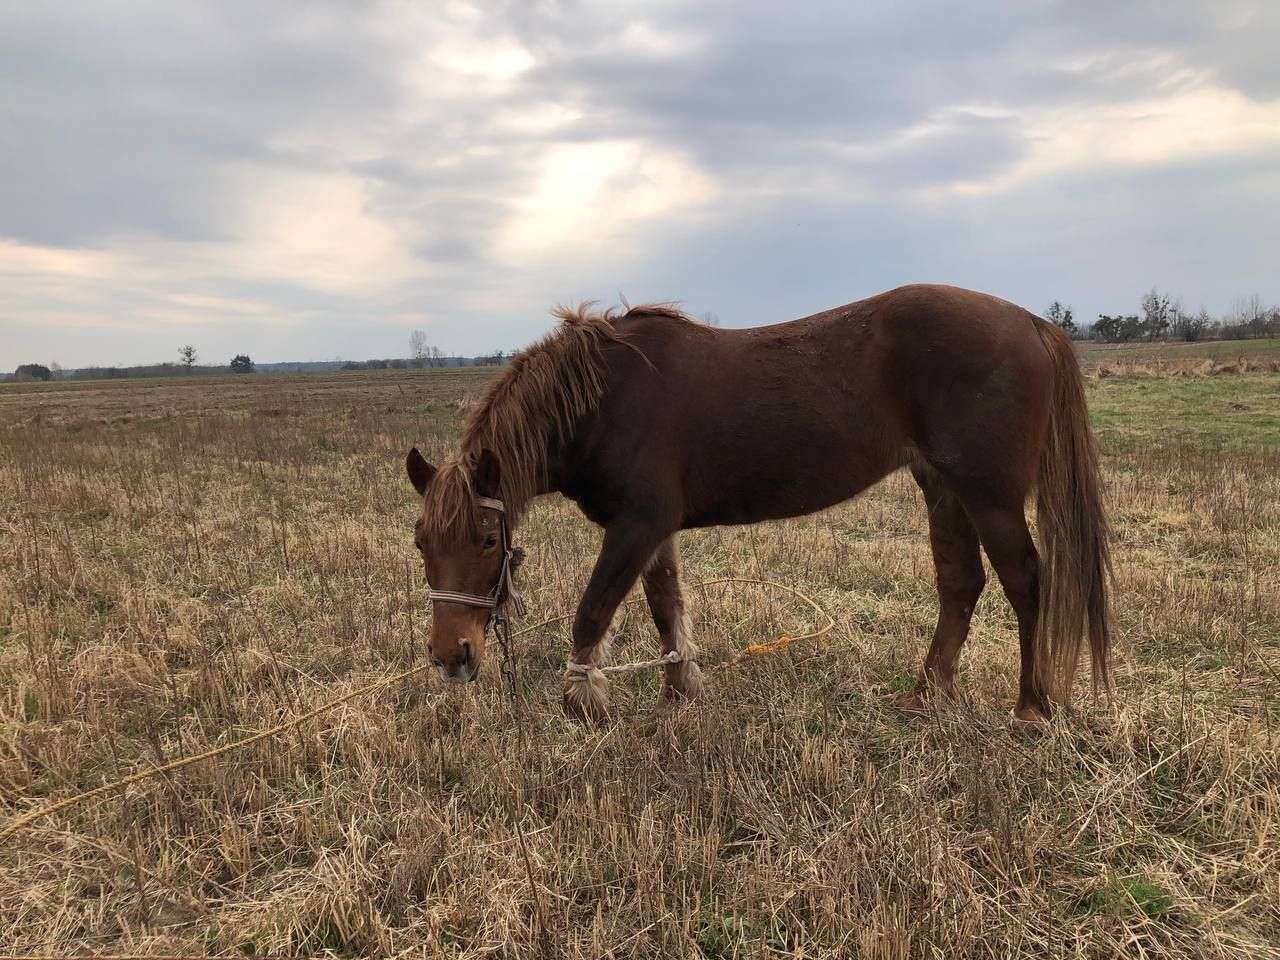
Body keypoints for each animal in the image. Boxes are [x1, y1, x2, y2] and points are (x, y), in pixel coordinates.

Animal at [404, 285, 1105, 727]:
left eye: (487, 540)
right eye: (421, 543)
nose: (450, 656)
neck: (605, 399)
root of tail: (1033, 322)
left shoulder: (635, 527)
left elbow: (593, 612)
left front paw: (586, 702)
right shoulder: (655, 531)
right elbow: (666, 610)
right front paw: (677, 696)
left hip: (990, 496)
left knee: (1025, 582)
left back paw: (1031, 708)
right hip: (943, 487)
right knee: (961, 584)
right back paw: (927, 695)